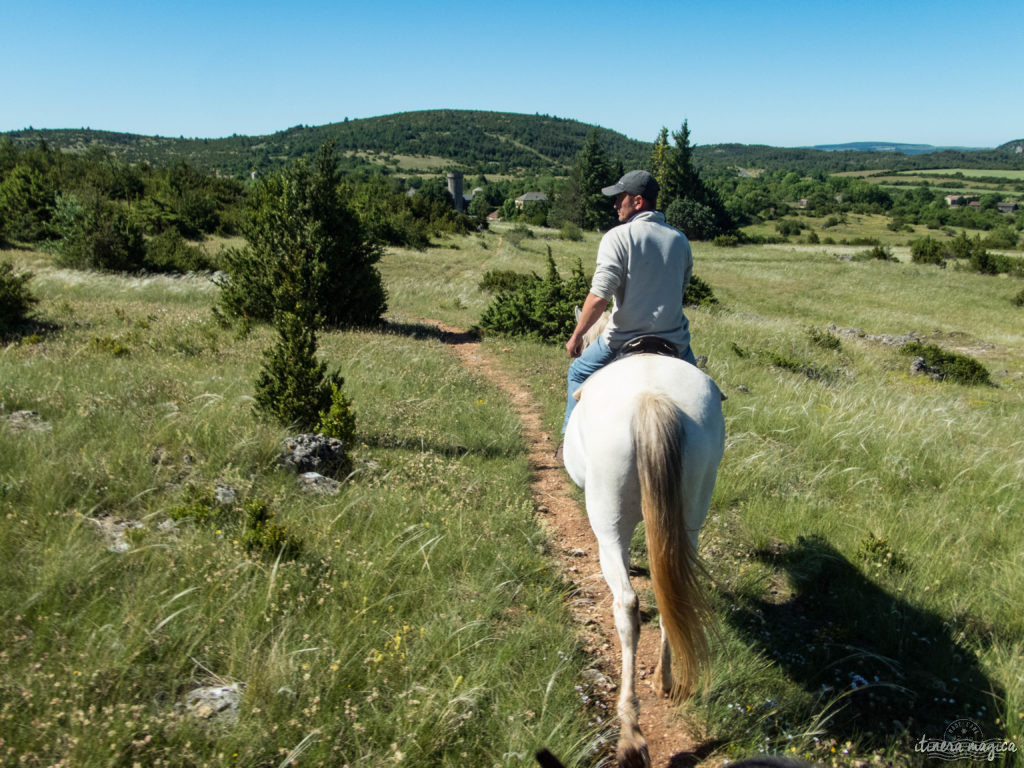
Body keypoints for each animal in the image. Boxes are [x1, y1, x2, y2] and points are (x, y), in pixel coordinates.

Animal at [561, 319, 729, 768]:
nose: (574, 347)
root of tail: (652, 398)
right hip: (691, 515)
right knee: (673, 588)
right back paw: (664, 680)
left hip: (608, 518)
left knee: (627, 606)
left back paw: (631, 735)